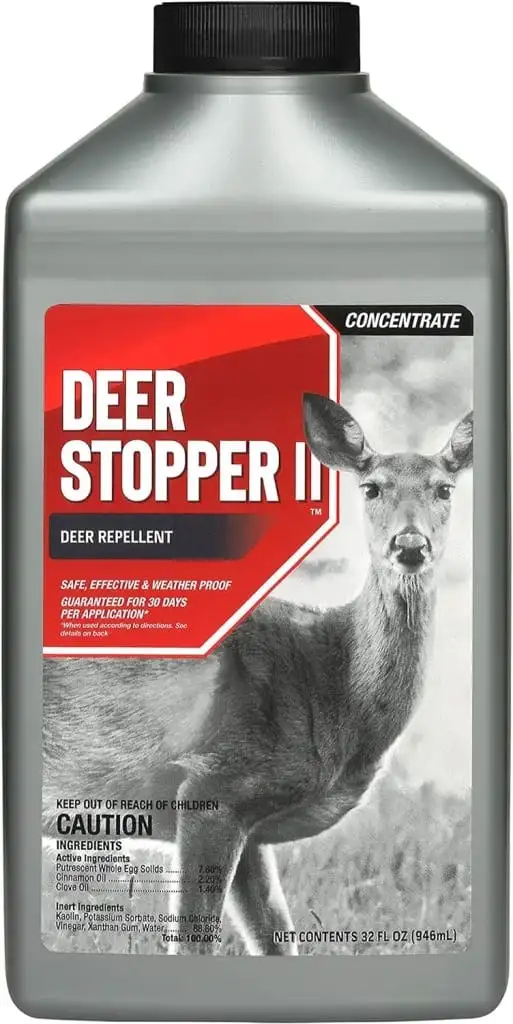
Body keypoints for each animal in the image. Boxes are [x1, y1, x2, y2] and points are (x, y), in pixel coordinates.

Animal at [43, 395, 473, 956]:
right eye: (371, 487)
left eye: (444, 488)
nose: (410, 544)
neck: (335, 695)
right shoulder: (216, 781)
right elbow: (195, 944)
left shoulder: (251, 822)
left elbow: (277, 939)